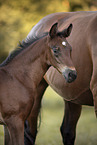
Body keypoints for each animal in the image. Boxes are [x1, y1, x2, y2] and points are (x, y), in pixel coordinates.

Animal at [23, 11, 97, 145]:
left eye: (71, 50)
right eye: (55, 50)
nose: (72, 74)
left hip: (71, 96)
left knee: (67, 131)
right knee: (30, 131)